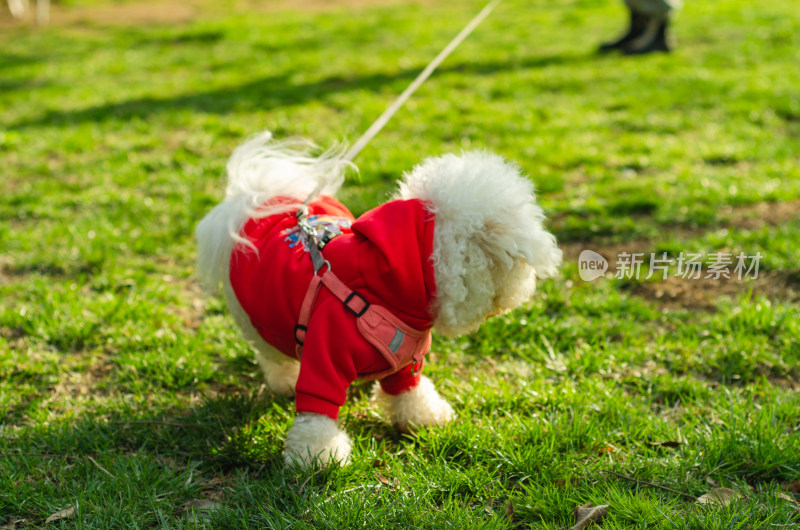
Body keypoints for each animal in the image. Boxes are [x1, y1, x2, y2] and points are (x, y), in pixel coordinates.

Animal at [196, 132, 560, 466]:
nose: (523, 289)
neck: (383, 288)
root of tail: (260, 201)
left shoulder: (407, 360)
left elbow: (410, 390)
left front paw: (424, 416)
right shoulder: (325, 351)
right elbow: (316, 409)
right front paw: (317, 457)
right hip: (258, 317)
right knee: (272, 353)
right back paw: (285, 380)